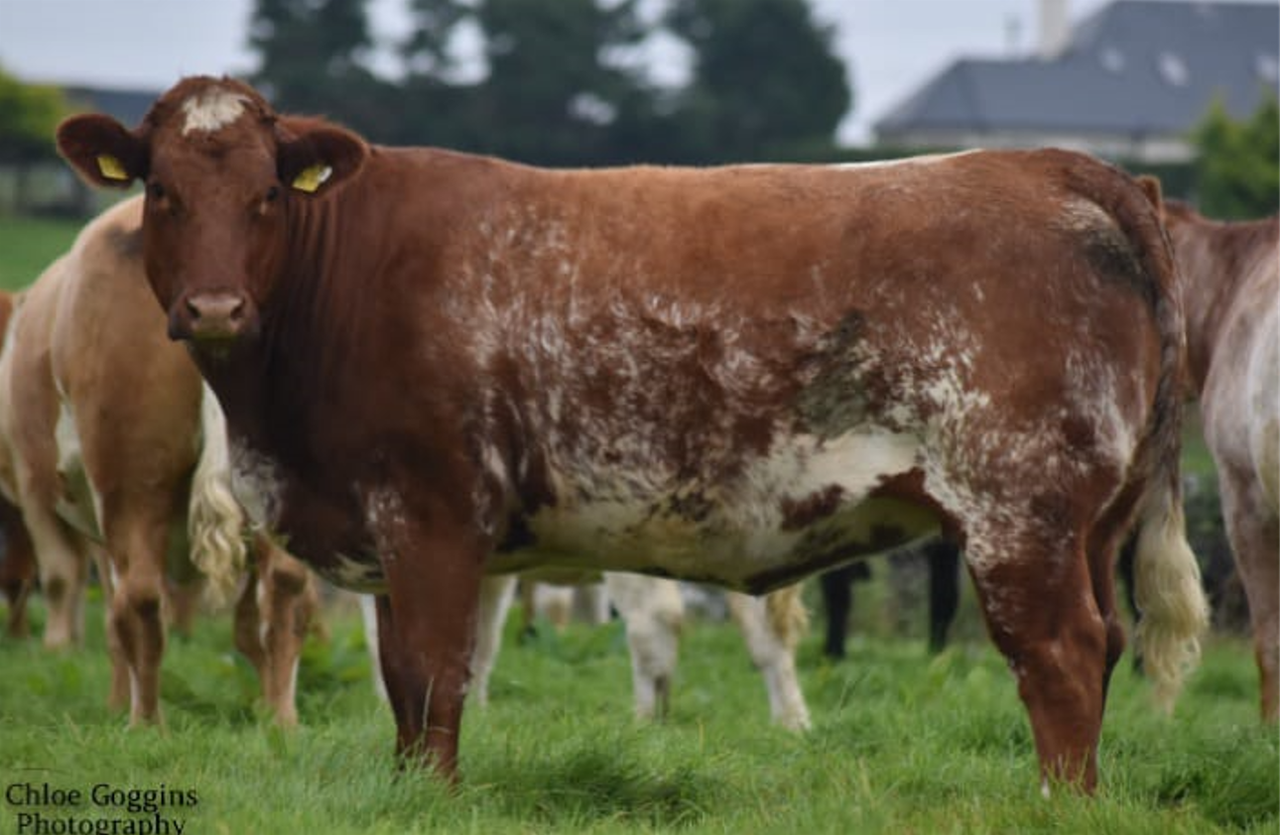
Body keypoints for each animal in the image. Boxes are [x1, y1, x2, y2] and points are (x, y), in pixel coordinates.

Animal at [0, 196, 319, 725]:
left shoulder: (42, 493)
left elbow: (77, 593)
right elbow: (248, 624)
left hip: (129, 483)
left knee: (138, 599)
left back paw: (146, 723)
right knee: (286, 588)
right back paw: (282, 722)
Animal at [55, 76, 1208, 792]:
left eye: (263, 195)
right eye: (162, 190)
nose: (212, 307)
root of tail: (1068, 167)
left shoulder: (430, 513)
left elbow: (432, 674)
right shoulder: (397, 537)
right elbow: (408, 684)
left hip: (1017, 512)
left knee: (1057, 654)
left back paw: (1059, 801)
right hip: (1090, 525)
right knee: (1103, 645)